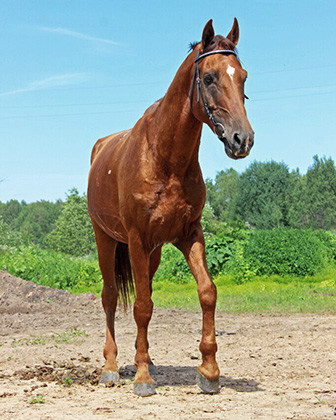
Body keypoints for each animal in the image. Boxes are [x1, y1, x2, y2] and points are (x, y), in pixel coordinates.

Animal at [88, 18, 253, 396]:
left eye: (243, 77)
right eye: (209, 77)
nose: (243, 140)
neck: (165, 158)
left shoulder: (189, 234)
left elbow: (207, 292)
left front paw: (209, 372)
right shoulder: (135, 238)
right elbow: (141, 305)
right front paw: (142, 379)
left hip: (153, 252)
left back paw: (142, 360)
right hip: (107, 240)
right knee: (109, 297)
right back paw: (111, 367)